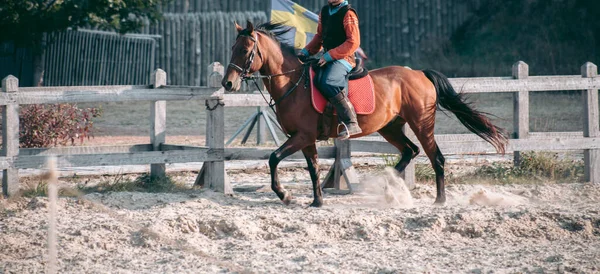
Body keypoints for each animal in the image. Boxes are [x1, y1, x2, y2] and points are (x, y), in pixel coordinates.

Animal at [220, 21, 506, 207]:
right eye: (232, 48)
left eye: (245, 51)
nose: (228, 84)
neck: (293, 83)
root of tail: (418, 73)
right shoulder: (306, 139)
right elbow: (312, 168)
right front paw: (317, 201)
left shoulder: (302, 136)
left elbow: (273, 158)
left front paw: (284, 195)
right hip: (390, 127)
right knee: (409, 151)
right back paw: (388, 186)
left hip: (422, 124)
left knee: (436, 157)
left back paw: (439, 200)